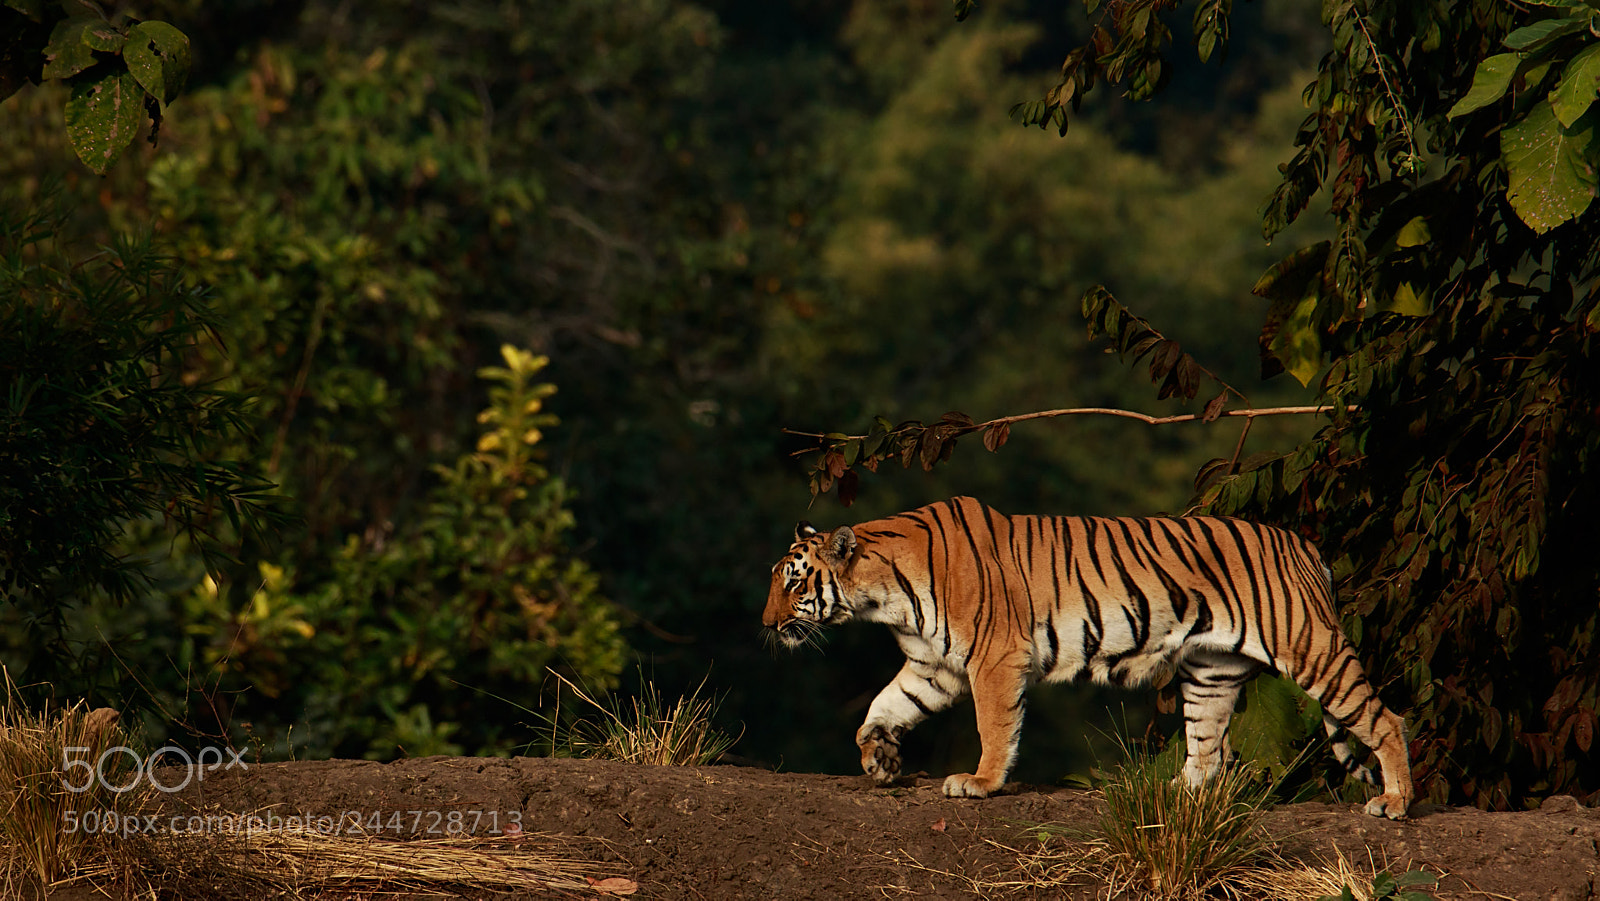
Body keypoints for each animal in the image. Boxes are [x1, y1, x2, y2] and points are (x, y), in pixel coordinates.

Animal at [763, 496, 1413, 819]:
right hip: (1211, 671)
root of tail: (1304, 545)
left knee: (1384, 718)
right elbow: (881, 707)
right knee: (1207, 750)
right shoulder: (934, 667)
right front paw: (880, 760)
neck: (882, 596)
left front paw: (980, 783)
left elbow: (994, 726)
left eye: (793, 583)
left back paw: (1396, 803)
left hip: (1311, 648)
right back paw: (1173, 794)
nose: (766, 625)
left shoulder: (994, 658)